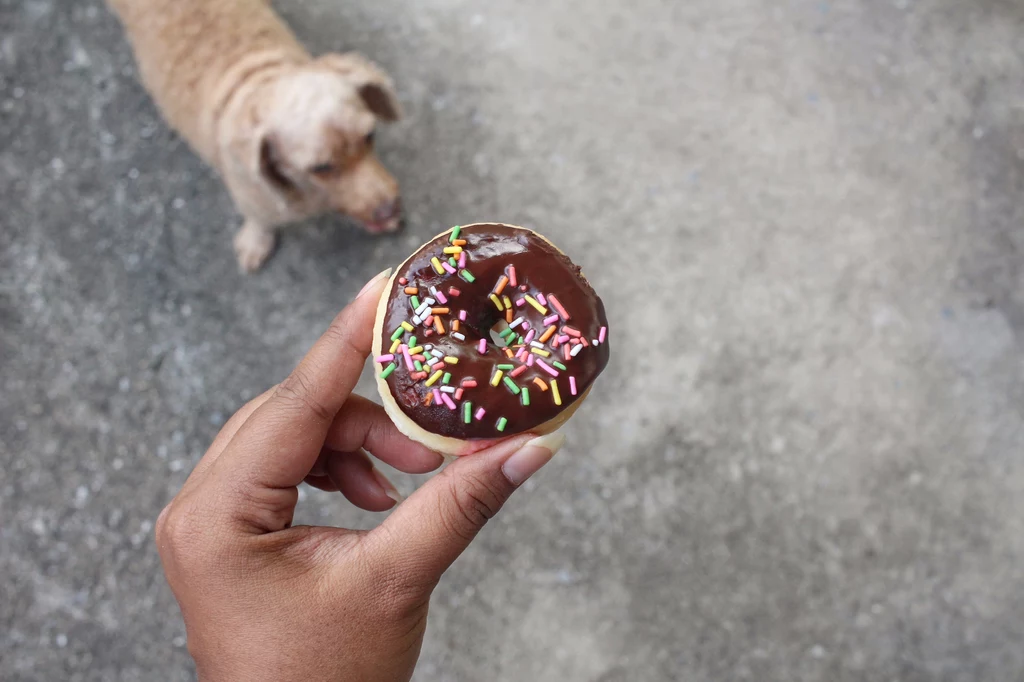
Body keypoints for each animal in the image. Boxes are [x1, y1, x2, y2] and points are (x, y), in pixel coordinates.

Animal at [107, 0, 403, 270]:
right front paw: (255, 241)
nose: (389, 208)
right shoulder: (249, 192)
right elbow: (259, 219)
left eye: (369, 136)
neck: (255, 78)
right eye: (321, 168)